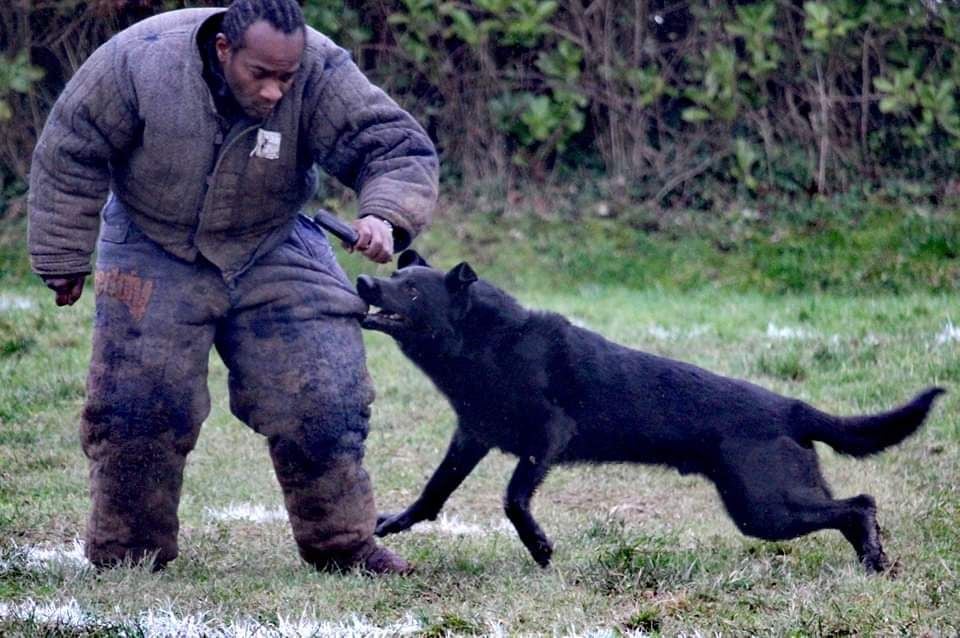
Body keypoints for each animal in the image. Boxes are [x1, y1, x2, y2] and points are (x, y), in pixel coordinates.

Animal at [358, 251, 944, 576]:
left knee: (860, 504)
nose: (364, 283)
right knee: (852, 507)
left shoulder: (548, 436)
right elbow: (433, 491)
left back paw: (874, 559)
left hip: (763, 507)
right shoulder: (471, 437)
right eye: (396, 276)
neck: (486, 343)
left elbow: (513, 499)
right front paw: (392, 523)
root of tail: (790, 408)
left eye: (412, 289)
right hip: (769, 504)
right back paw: (874, 561)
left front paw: (541, 548)